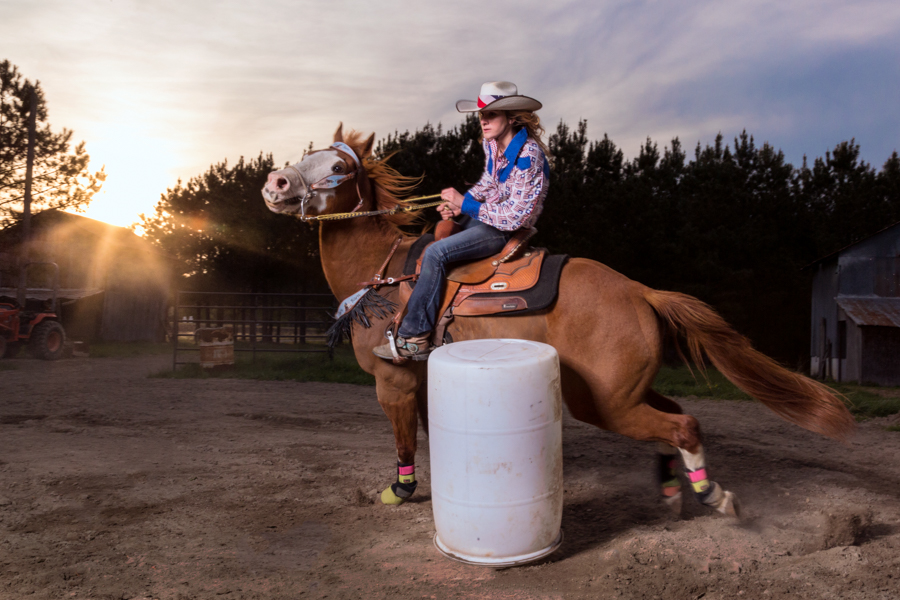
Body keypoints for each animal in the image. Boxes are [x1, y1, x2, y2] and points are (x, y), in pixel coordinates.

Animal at [256, 123, 856, 516]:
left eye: (336, 167)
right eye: (308, 154)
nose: (276, 184)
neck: (384, 270)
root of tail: (639, 290)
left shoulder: (394, 378)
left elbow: (405, 442)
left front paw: (398, 492)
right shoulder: (426, 378)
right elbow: (427, 434)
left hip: (603, 400)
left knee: (683, 424)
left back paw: (713, 494)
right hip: (624, 389)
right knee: (675, 416)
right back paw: (671, 490)